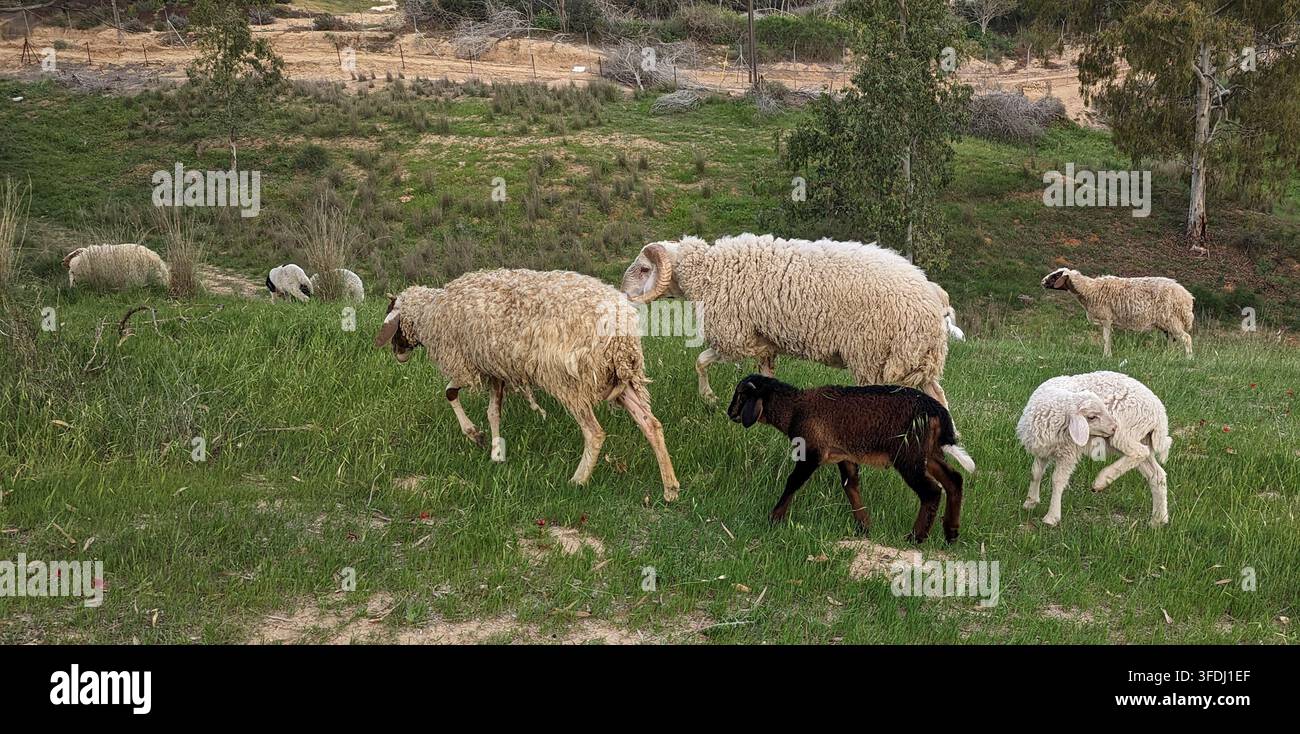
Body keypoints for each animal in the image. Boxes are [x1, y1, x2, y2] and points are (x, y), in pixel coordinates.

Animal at [373, 268, 681, 501]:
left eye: (393, 322)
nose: (397, 354)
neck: (430, 312)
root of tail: (622, 332)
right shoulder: (495, 368)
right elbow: (493, 412)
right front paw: (496, 451)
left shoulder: (465, 363)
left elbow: (449, 392)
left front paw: (474, 434)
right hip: (618, 379)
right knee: (651, 424)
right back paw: (670, 488)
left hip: (570, 381)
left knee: (595, 433)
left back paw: (578, 480)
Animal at [620, 233, 952, 407]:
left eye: (643, 269)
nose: (622, 294)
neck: (708, 272)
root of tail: (933, 296)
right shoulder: (763, 344)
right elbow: (764, 372)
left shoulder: (736, 337)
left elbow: (700, 361)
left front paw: (709, 397)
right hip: (917, 362)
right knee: (938, 397)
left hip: (876, 358)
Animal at [727, 375, 975, 543]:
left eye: (740, 395)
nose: (729, 413)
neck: (794, 410)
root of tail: (938, 411)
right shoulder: (843, 455)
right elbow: (851, 487)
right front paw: (864, 526)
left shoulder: (812, 451)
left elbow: (793, 482)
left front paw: (774, 517)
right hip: (928, 452)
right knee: (954, 480)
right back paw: (951, 533)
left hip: (908, 454)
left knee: (931, 491)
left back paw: (916, 537)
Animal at [1016, 370, 1171, 528]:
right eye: (1091, 417)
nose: (1114, 427)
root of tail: (1160, 416)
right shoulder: (1042, 449)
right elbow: (1035, 472)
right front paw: (1030, 502)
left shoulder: (1068, 452)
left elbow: (1057, 480)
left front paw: (1051, 517)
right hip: (1140, 437)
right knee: (1156, 474)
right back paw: (1158, 520)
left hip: (1125, 433)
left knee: (1139, 452)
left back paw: (1101, 481)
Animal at [1041, 267, 1194, 357]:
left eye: (1055, 276)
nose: (1042, 282)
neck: (1088, 289)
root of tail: (1187, 297)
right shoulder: (1108, 320)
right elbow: (1108, 338)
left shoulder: (1106, 318)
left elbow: (1105, 338)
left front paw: (1106, 356)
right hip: (1168, 323)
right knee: (1172, 339)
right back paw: (1168, 357)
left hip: (1172, 320)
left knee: (1186, 338)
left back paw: (1188, 359)